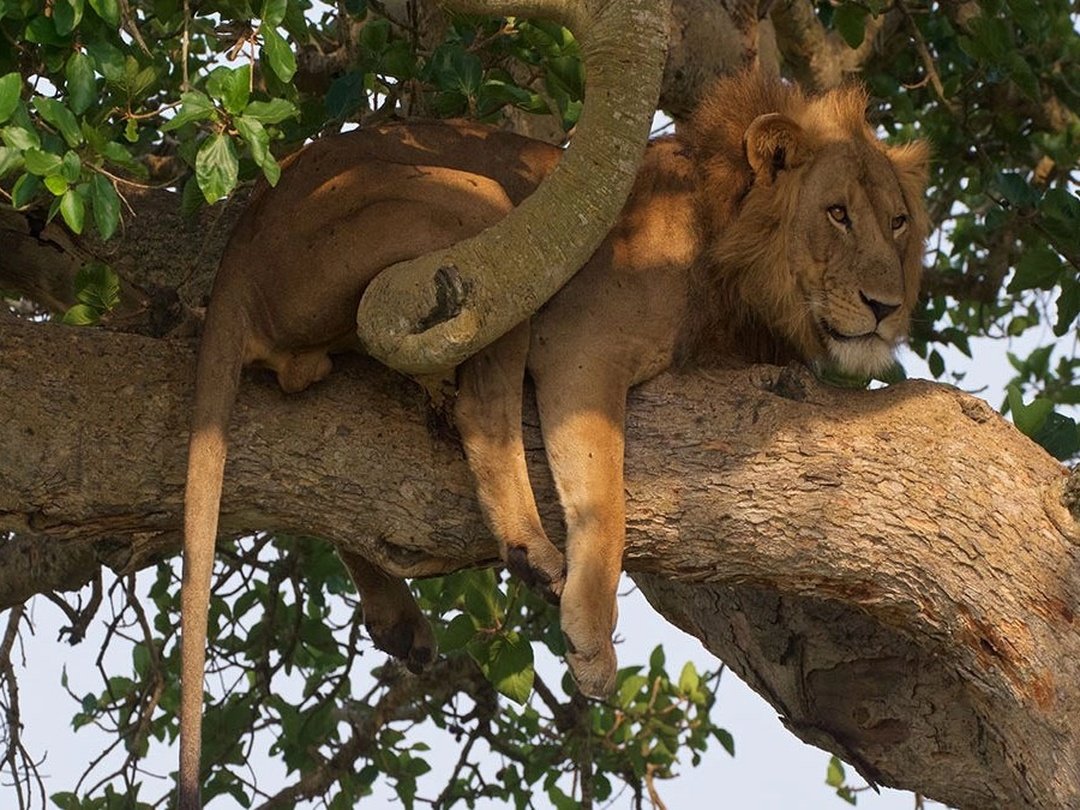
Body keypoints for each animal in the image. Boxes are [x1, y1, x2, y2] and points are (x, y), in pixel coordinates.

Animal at [178, 69, 929, 806]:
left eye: (898, 223)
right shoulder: (581, 346)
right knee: (477, 407)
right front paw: (592, 642)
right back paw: (530, 551)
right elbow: (605, 503)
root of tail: (241, 245)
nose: (886, 309)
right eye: (836, 213)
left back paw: (402, 617)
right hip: (484, 222)